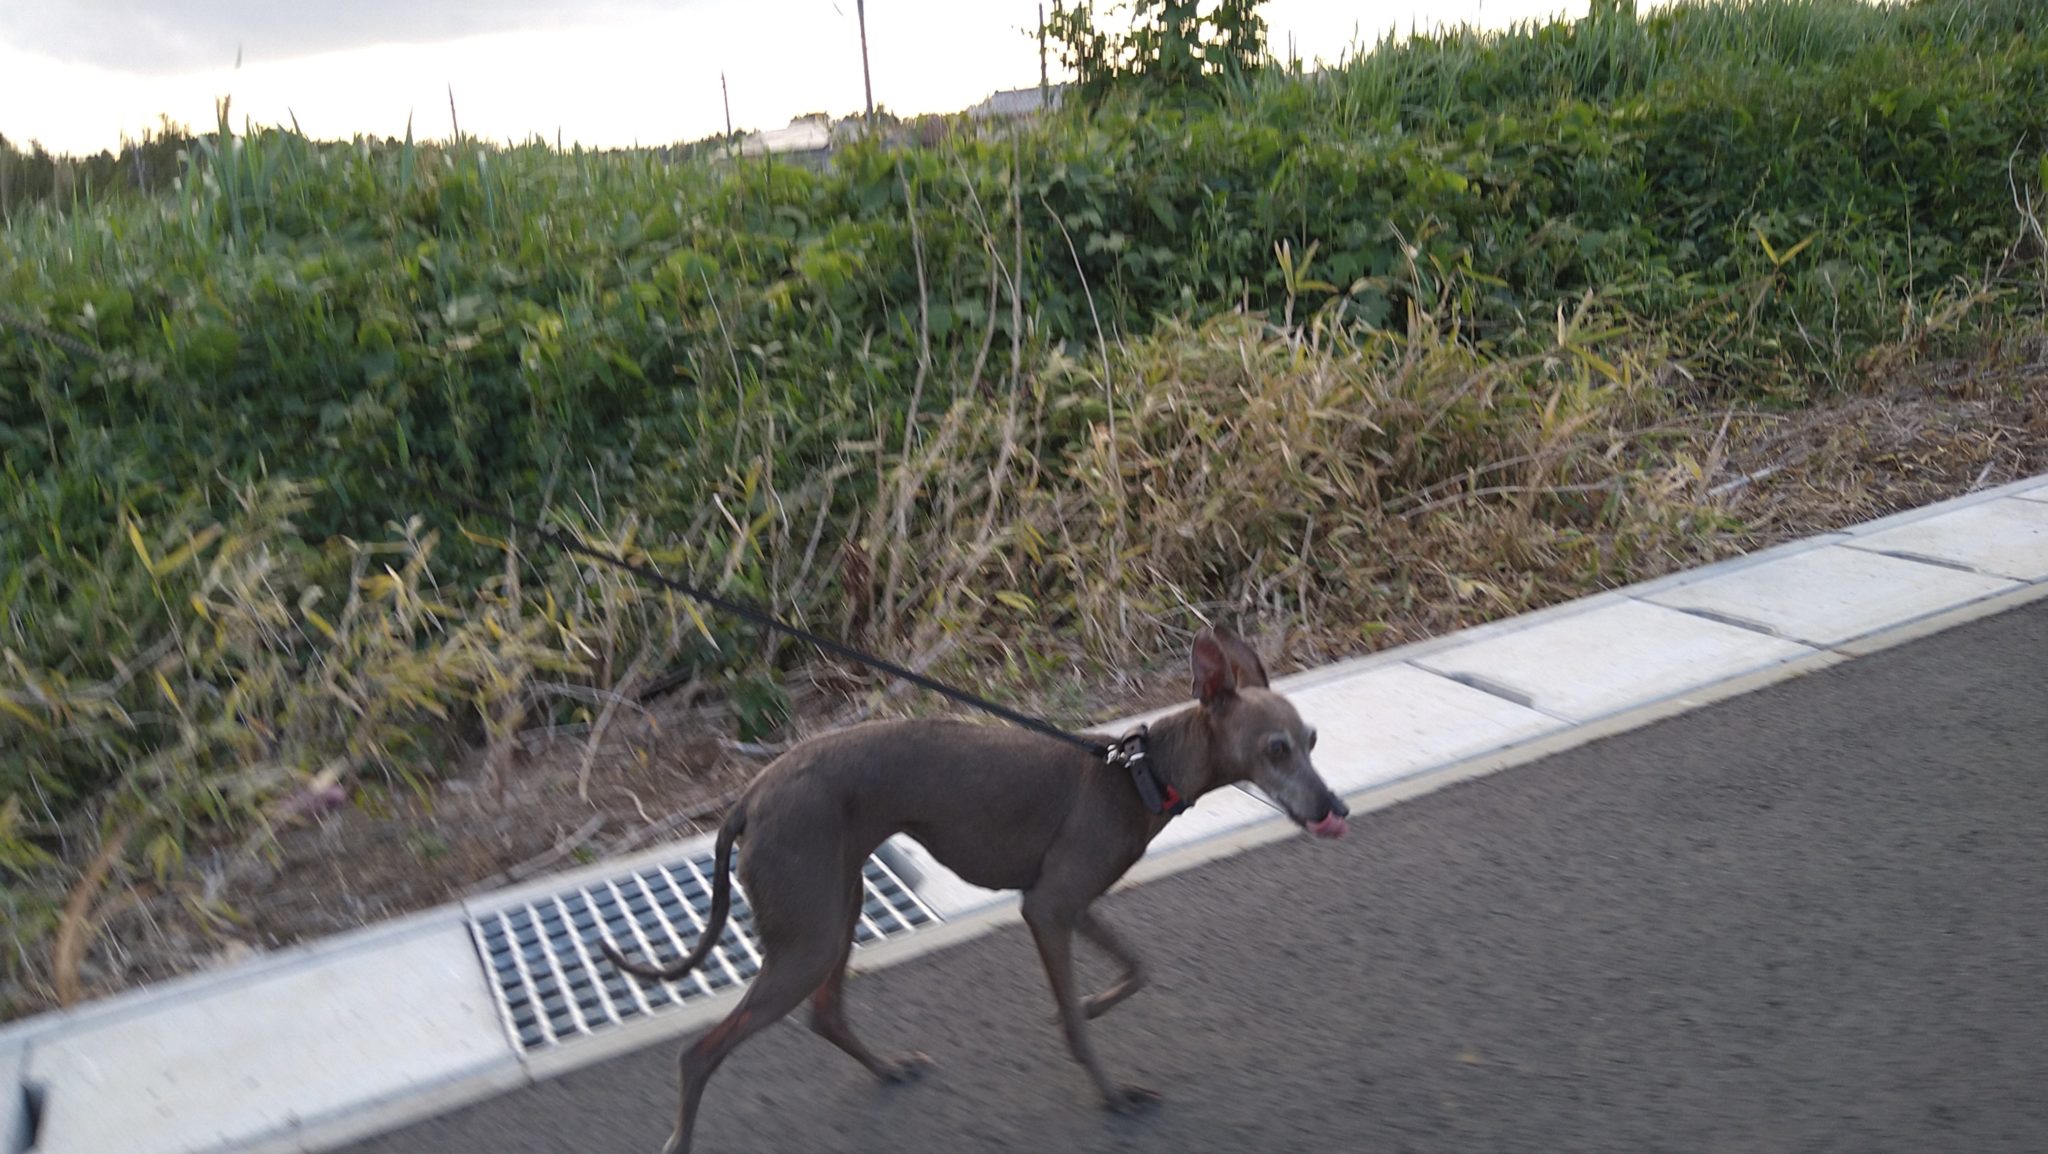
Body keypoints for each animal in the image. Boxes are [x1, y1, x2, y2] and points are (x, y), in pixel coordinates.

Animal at [600, 626, 1349, 1153]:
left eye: (1313, 739)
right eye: (1277, 748)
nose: (1332, 807)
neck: (1139, 771)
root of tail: (749, 795)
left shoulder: (1072, 906)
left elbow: (1137, 969)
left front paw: (1088, 1004)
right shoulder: (1047, 908)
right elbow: (1083, 1024)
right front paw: (1111, 1094)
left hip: (837, 910)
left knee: (826, 1014)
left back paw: (889, 1071)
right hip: (809, 935)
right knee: (700, 1054)